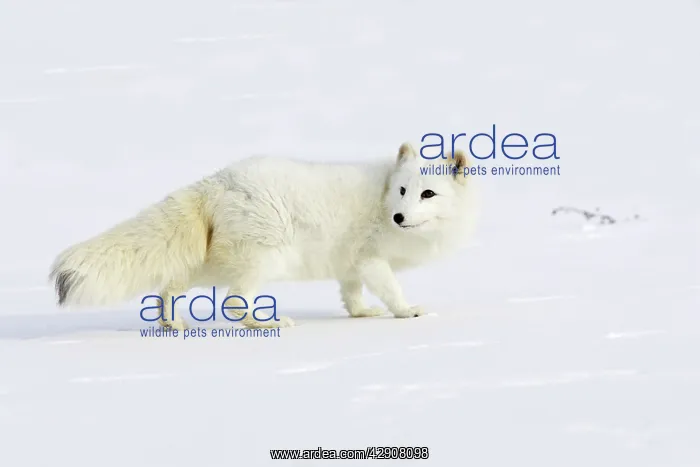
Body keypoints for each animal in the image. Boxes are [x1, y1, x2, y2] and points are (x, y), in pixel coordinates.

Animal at [49, 142, 478, 330]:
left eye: (427, 193)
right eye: (404, 191)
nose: (399, 216)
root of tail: (216, 181)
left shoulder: (351, 263)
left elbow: (351, 293)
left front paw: (360, 314)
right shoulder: (372, 259)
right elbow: (391, 289)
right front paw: (407, 312)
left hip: (213, 262)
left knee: (167, 287)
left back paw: (172, 324)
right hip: (265, 257)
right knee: (234, 303)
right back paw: (267, 324)